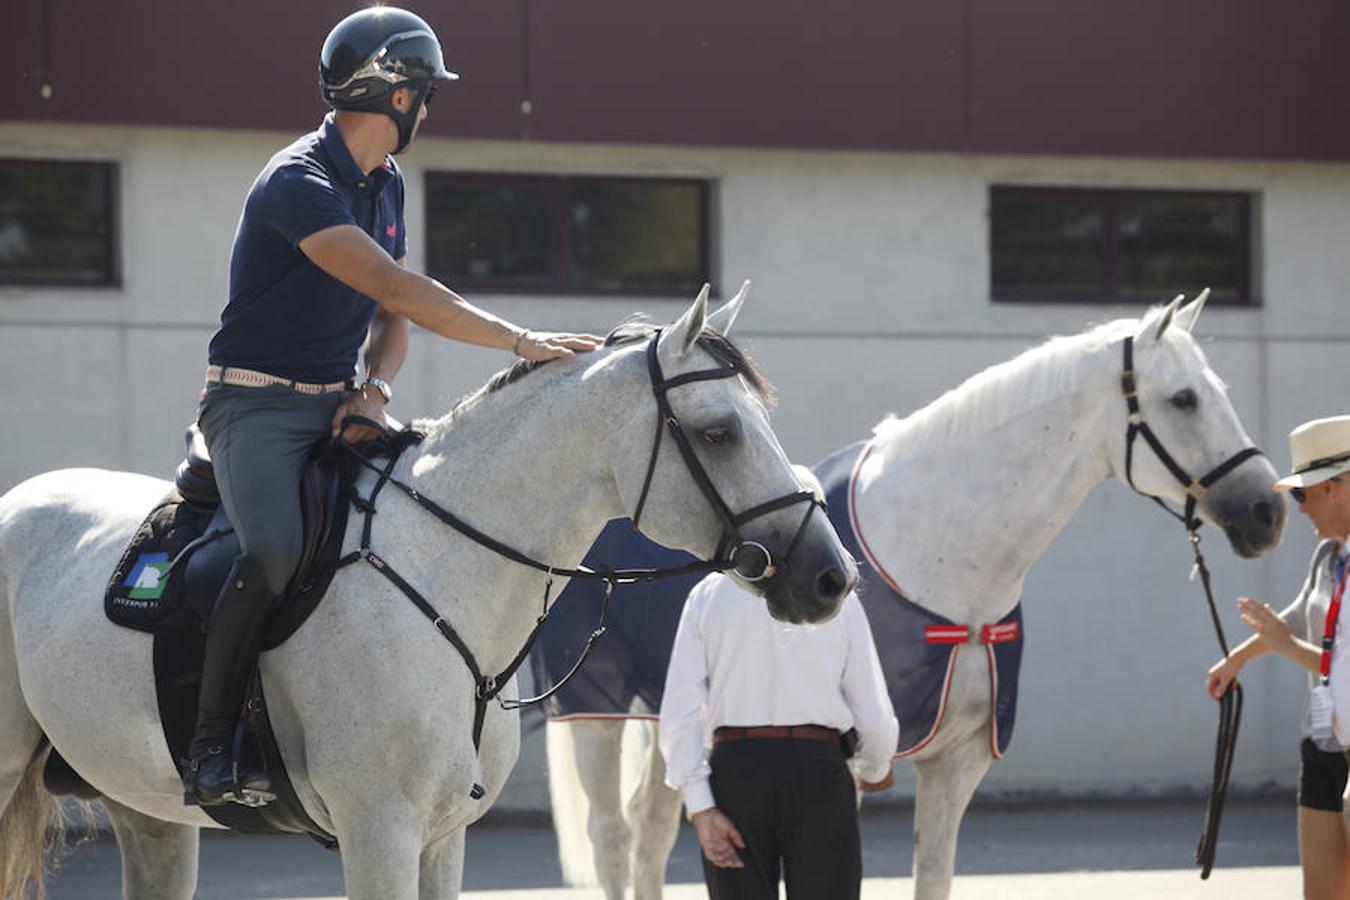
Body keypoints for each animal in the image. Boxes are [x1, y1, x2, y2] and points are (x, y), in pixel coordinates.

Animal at [0, 288, 853, 900]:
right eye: (717, 433)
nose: (829, 576)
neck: (444, 568)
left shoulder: (442, 839)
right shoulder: (379, 832)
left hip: (148, 814)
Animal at [545, 292, 1285, 895]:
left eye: (1215, 390)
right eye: (1184, 399)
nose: (1267, 512)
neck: (934, 553)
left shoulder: (959, 764)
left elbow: (934, 876)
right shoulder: (852, 764)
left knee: (653, 828)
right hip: (597, 711)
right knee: (614, 838)